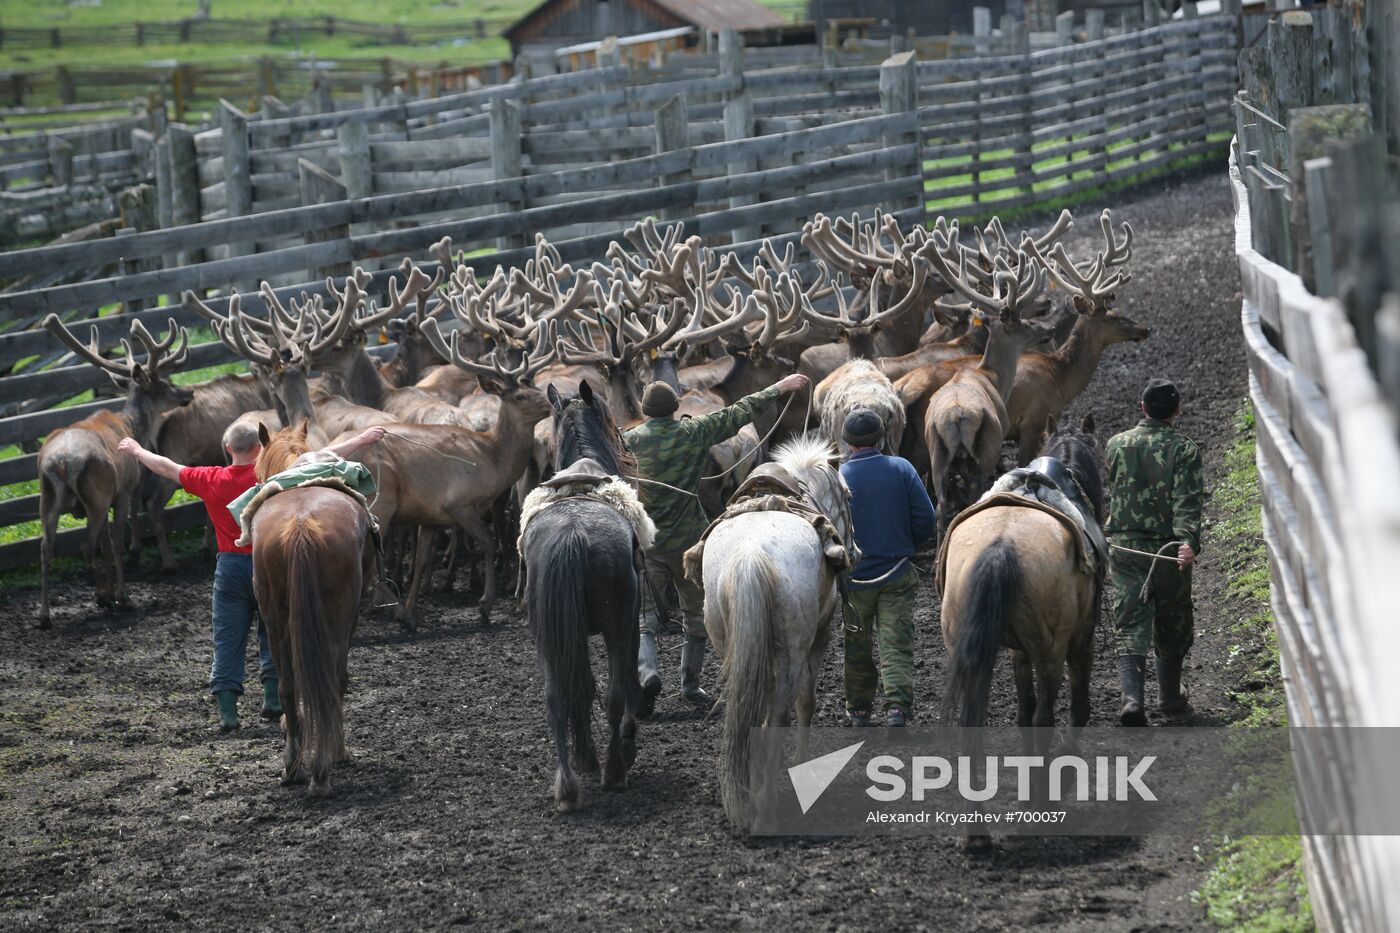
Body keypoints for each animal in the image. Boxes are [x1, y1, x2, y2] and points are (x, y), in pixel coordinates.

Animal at [35, 313, 196, 624]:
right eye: (166, 383)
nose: (189, 391)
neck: (133, 426)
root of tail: (60, 461)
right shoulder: (123, 490)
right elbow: (117, 541)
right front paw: (120, 595)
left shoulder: (109, 496)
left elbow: (107, 543)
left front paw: (112, 591)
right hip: (95, 493)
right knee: (85, 545)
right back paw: (103, 597)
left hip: (48, 498)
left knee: (46, 547)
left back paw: (45, 614)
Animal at [249, 420, 375, 790]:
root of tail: (301, 524)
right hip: (340, 612)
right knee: (333, 679)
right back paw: (327, 762)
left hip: (275, 617)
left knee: (289, 685)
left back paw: (294, 765)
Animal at [515, 381, 649, 812]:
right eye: (613, 423)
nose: (628, 449)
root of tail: (572, 533)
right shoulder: (630, 619)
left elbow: (583, 686)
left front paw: (585, 755)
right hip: (617, 622)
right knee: (616, 693)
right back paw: (615, 771)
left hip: (546, 633)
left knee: (556, 696)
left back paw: (568, 787)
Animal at [697, 431, 856, 829]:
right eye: (848, 495)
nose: (856, 550)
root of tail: (751, 554)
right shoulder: (820, 637)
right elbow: (805, 702)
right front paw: (802, 766)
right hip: (792, 654)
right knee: (782, 713)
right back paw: (766, 809)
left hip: (733, 647)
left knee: (750, 710)